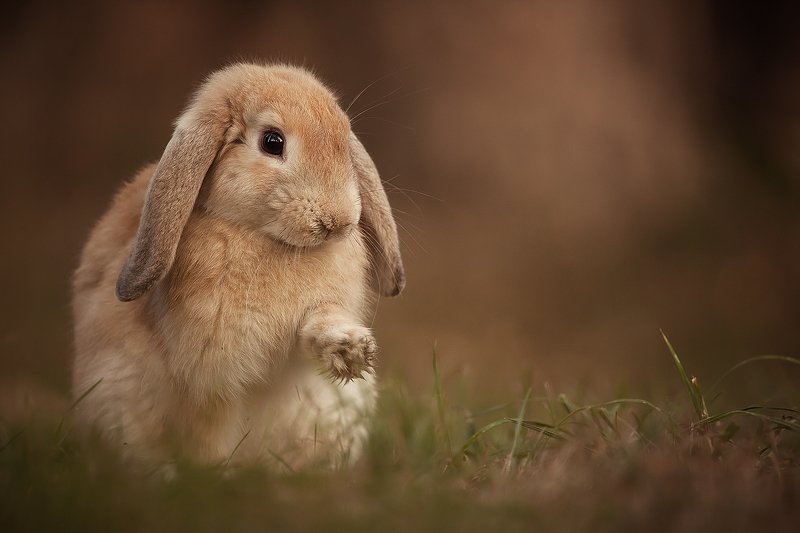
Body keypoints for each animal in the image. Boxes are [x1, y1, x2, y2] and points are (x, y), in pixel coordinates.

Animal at [71, 62, 405, 469]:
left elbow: (314, 325)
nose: (337, 221)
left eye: (344, 138)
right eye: (272, 142)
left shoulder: (319, 310)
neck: (269, 240)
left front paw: (350, 349)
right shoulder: (214, 355)